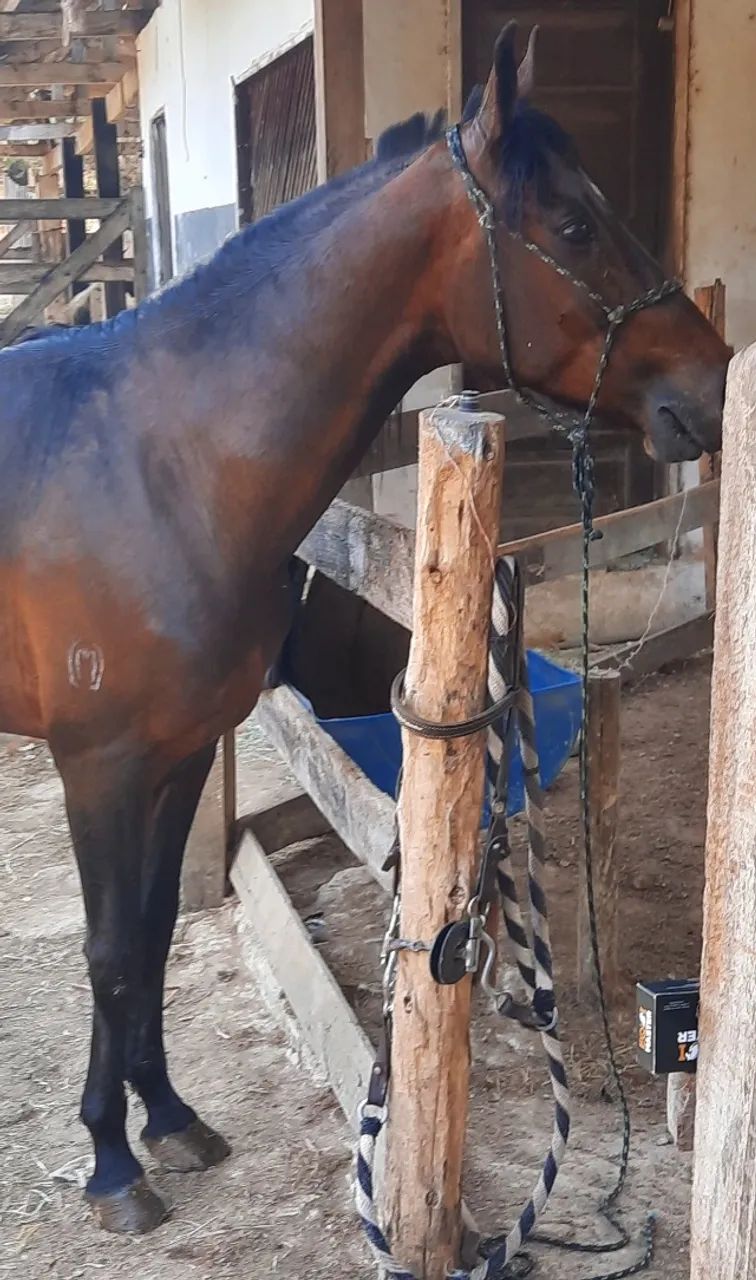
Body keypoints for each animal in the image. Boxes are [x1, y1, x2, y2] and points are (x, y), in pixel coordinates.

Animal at [0, 23, 728, 1235]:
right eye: (575, 224)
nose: (714, 385)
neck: (157, 461)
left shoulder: (181, 750)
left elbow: (147, 937)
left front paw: (168, 1118)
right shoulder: (99, 764)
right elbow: (108, 949)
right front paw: (111, 1162)